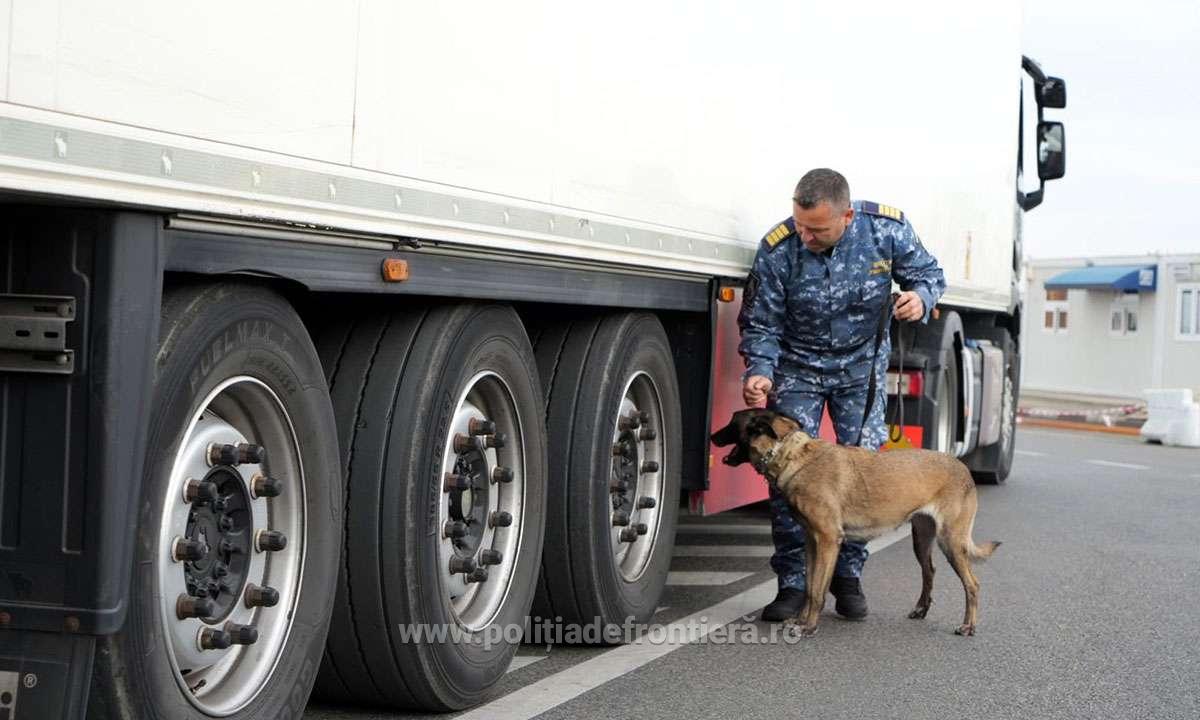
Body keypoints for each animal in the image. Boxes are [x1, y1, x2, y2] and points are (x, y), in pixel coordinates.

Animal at [710, 408, 1003, 638]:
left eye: (731, 422)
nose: (712, 436)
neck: (791, 454)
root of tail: (963, 467)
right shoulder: (812, 542)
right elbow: (809, 586)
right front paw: (801, 620)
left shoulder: (828, 540)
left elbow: (817, 590)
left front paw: (809, 627)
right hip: (921, 538)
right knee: (929, 571)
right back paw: (921, 609)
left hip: (950, 540)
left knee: (972, 584)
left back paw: (968, 626)